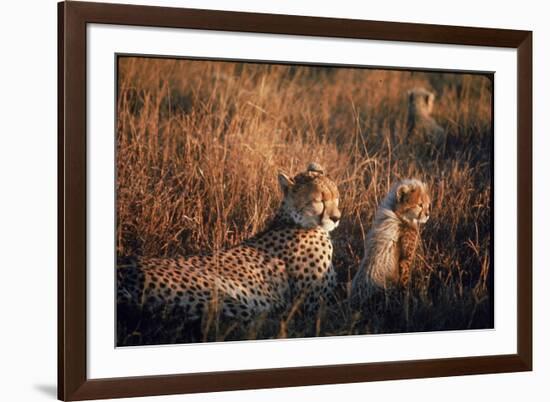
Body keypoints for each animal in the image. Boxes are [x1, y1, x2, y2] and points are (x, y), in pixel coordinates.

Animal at [117, 162, 342, 328]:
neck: (294, 221)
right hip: (226, 300)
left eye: (336, 197)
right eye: (319, 200)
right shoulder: (312, 306)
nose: (337, 218)